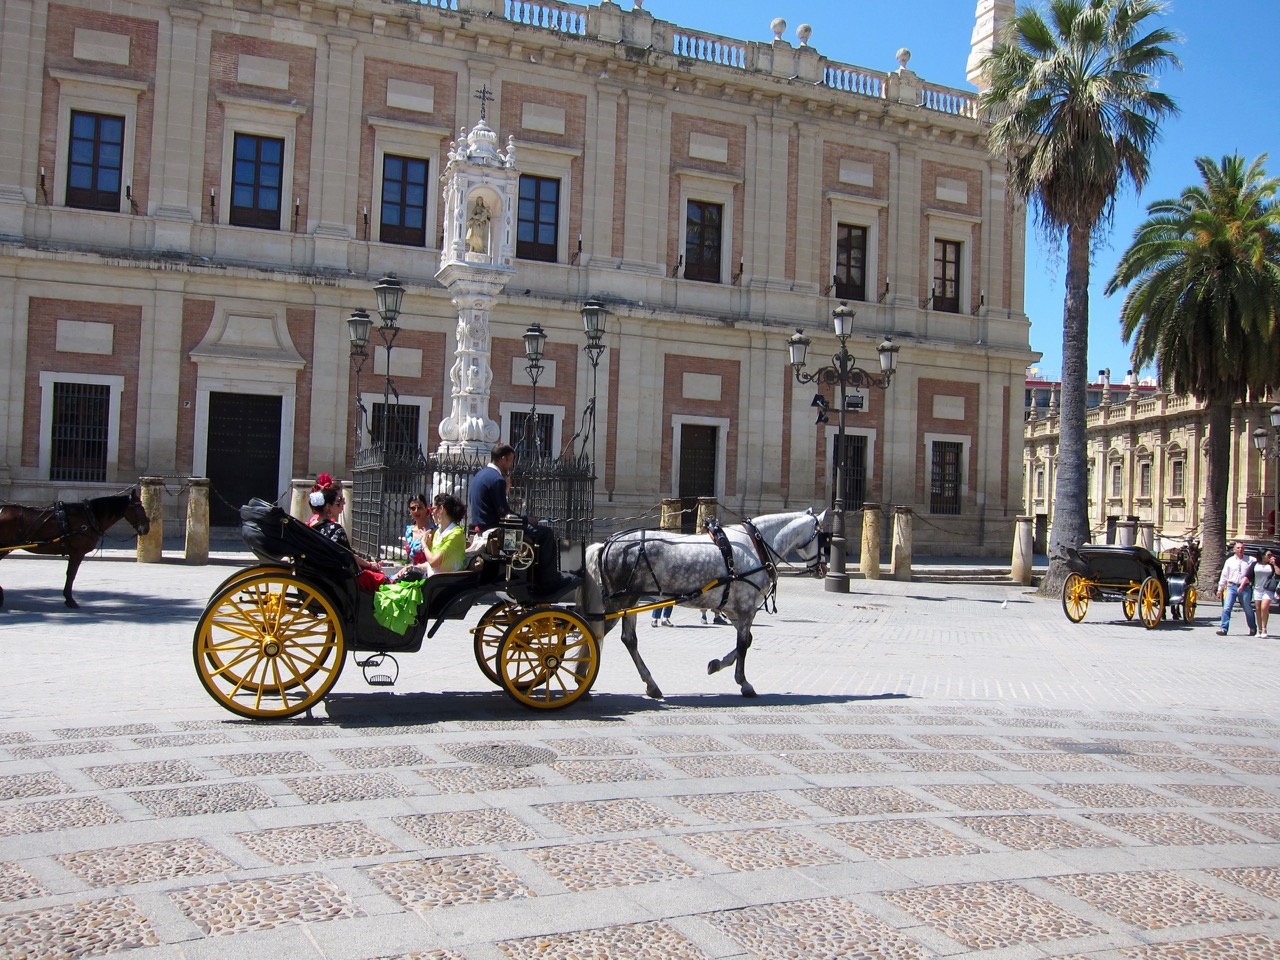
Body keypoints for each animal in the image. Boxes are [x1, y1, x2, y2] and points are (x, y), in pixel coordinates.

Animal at [0, 491, 151, 611]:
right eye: (140, 508)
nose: (146, 528)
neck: (89, 517)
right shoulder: (77, 553)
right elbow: (71, 575)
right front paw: (70, 600)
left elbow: (70, 574)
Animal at [583, 512, 824, 701]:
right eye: (823, 537)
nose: (822, 568)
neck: (755, 545)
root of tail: (607, 543)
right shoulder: (746, 608)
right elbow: (743, 644)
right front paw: (744, 683)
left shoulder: (734, 610)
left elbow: (745, 642)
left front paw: (716, 664)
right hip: (620, 601)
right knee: (596, 634)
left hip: (630, 602)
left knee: (628, 639)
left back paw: (649, 684)